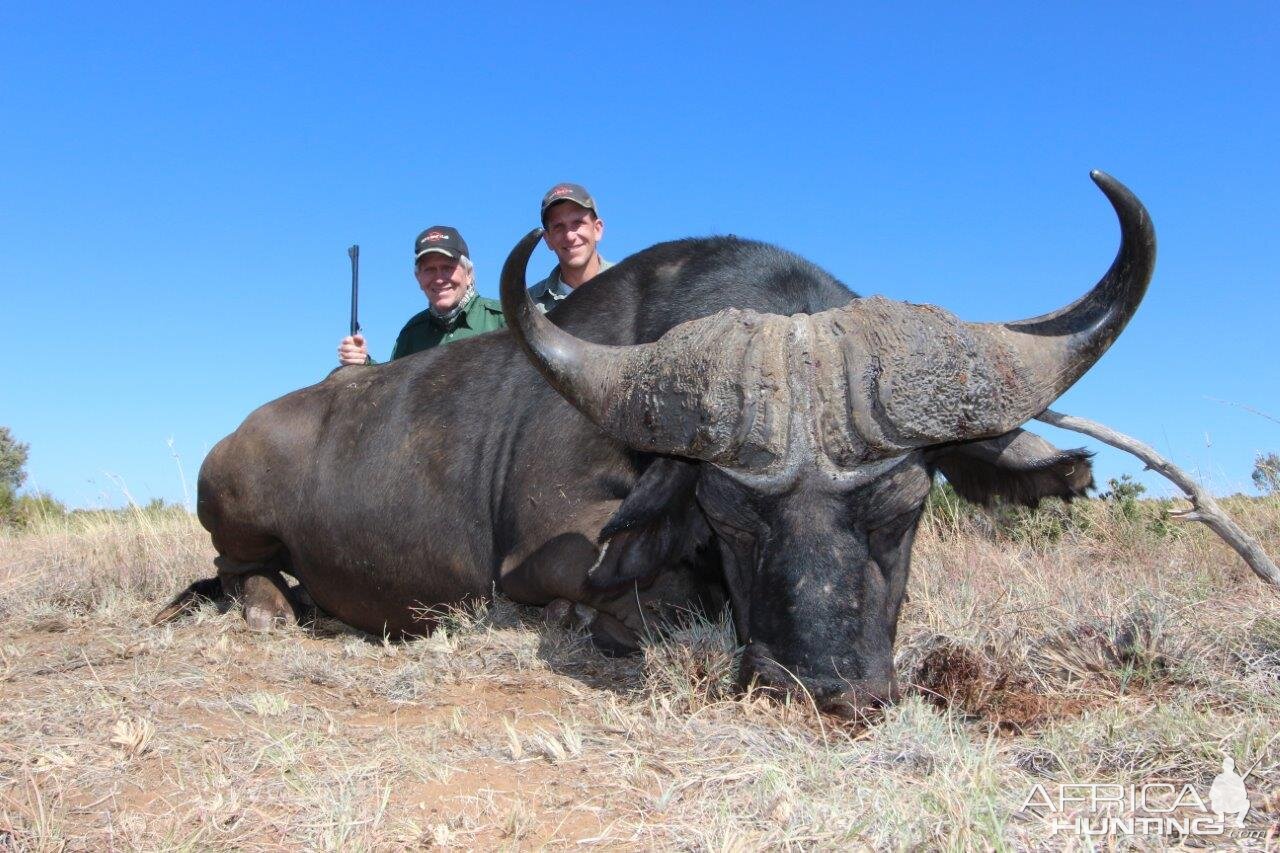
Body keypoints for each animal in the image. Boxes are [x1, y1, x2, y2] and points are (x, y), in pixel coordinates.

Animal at [165, 169, 1157, 712]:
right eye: (731, 516)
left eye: (906, 506)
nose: (822, 686)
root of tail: (234, 439)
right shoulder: (546, 558)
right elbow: (646, 598)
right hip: (234, 517)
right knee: (238, 570)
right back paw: (272, 605)